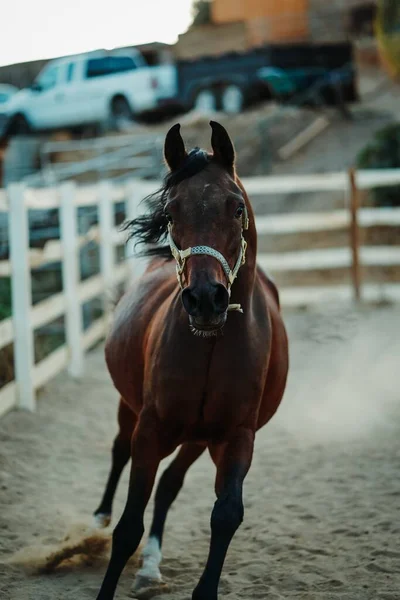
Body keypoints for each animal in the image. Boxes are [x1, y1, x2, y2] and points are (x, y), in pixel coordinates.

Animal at [94, 122, 288, 600]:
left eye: (236, 208)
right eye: (171, 213)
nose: (205, 299)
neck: (210, 348)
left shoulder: (236, 437)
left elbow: (226, 514)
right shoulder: (150, 429)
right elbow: (128, 526)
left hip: (197, 439)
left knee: (169, 485)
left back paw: (150, 567)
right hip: (130, 409)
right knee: (119, 450)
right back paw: (99, 516)